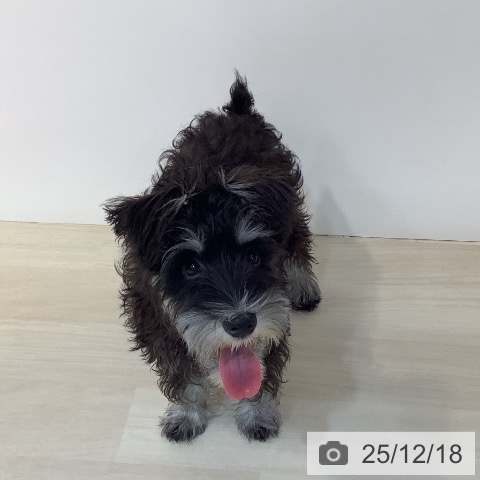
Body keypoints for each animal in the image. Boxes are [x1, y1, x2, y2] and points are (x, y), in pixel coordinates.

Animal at [104, 73, 321, 442]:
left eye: (252, 256)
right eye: (190, 266)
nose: (241, 323)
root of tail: (237, 110)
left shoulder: (273, 316)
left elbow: (262, 368)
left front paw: (257, 414)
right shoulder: (154, 323)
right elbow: (184, 377)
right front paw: (186, 415)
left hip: (289, 215)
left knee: (299, 242)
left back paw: (304, 286)